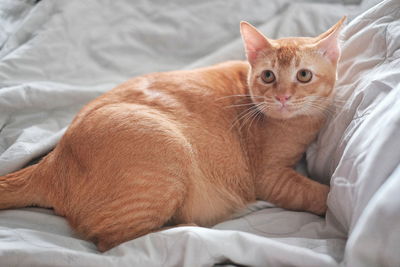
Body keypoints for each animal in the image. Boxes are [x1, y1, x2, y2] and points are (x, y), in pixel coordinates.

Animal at [0, 17, 344, 252]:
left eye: (303, 75)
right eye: (268, 76)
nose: (283, 97)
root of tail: (52, 160)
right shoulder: (271, 177)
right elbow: (317, 194)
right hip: (167, 154)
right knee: (117, 241)